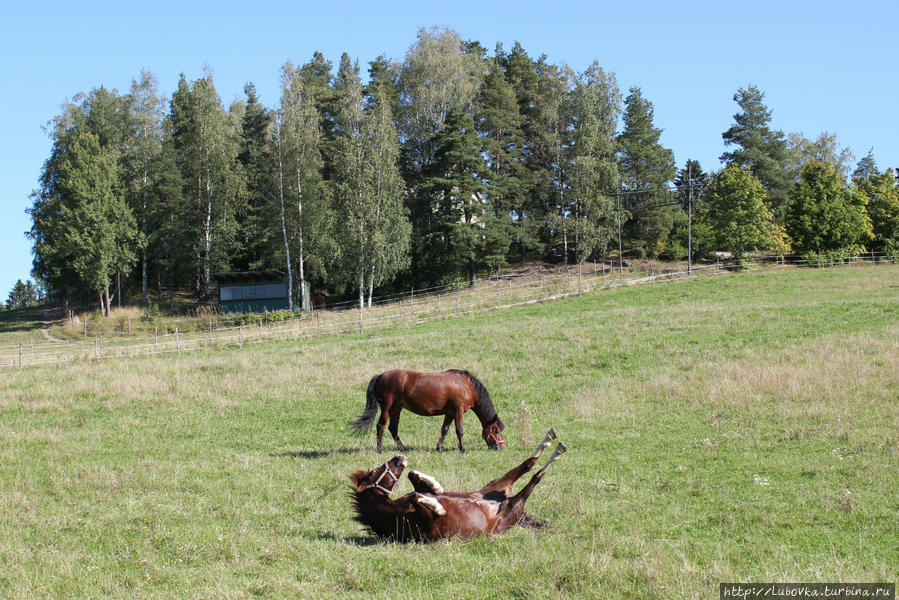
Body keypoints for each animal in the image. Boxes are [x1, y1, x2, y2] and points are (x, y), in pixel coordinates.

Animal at [350, 426, 568, 544]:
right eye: (373, 473)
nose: (398, 457)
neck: (393, 513)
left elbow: (415, 482)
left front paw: (434, 486)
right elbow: (417, 497)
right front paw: (437, 506)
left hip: (495, 485)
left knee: (528, 464)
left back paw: (550, 440)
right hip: (513, 505)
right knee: (536, 476)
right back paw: (556, 449)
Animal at [352, 368, 506, 452]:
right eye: (496, 431)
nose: (502, 447)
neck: (467, 385)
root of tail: (379, 376)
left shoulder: (450, 413)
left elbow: (444, 430)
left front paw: (439, 448)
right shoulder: (458, 411)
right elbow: (459, 430)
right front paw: (462, 449)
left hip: (397, 408)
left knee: (393, 428)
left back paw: (402, 448)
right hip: (387, 408)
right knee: (381, 426)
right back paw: (380, 449)